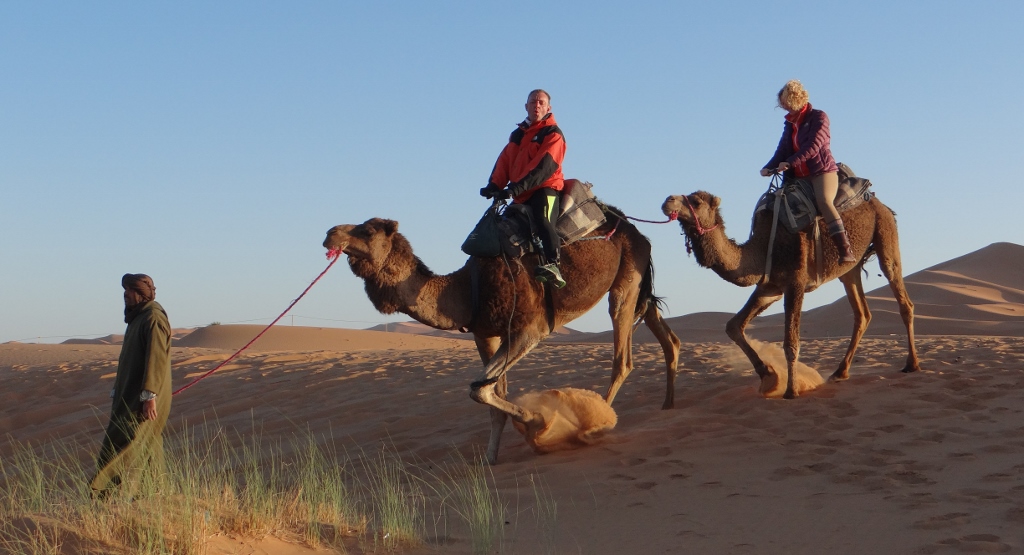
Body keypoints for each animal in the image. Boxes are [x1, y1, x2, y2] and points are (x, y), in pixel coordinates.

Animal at [323, 210, 681, 464]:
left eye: (368, 230)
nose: (329, 233)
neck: (467, 289)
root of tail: (634, 229)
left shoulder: (530, 329)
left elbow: (479, 389)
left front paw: (538, 422)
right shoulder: (486, 335)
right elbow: (493, 394)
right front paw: (490, 460)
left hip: (625, 281)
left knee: (622, 358)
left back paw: (598, 422)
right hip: (637, 281)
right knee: (665, 333)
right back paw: (668, 403)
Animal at [661, 191, 921, 399]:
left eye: (696, 201)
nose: (667, 200)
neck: (763, 248)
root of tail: (879, 203)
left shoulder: (795, 282)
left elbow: (791, 342)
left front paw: (791, 391)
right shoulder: (770, 287)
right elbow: (733, 326)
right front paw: (769, 376)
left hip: (885, 233)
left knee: (902, 298)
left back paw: (912, 364)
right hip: (850, 266)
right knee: (862, 313)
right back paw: (840, 371)